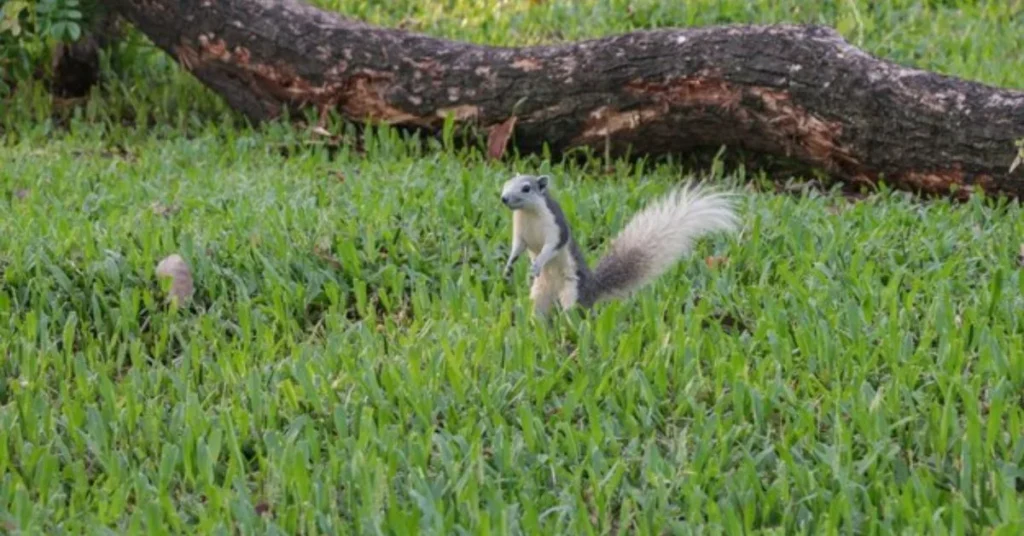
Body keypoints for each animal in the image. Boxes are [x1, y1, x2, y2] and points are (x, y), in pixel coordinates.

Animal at [499, 174, 741, 317]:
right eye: (506, 184)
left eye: (526, 188)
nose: (504, 198)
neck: (528, 215)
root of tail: (592, 290)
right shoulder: (520, 234)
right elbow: (517, 248)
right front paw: (509, 266)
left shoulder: (555, 228)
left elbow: (551, 247)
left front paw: (538, 263)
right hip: (540, 293)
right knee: (540, 311)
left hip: (573, 290)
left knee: (574, 311)